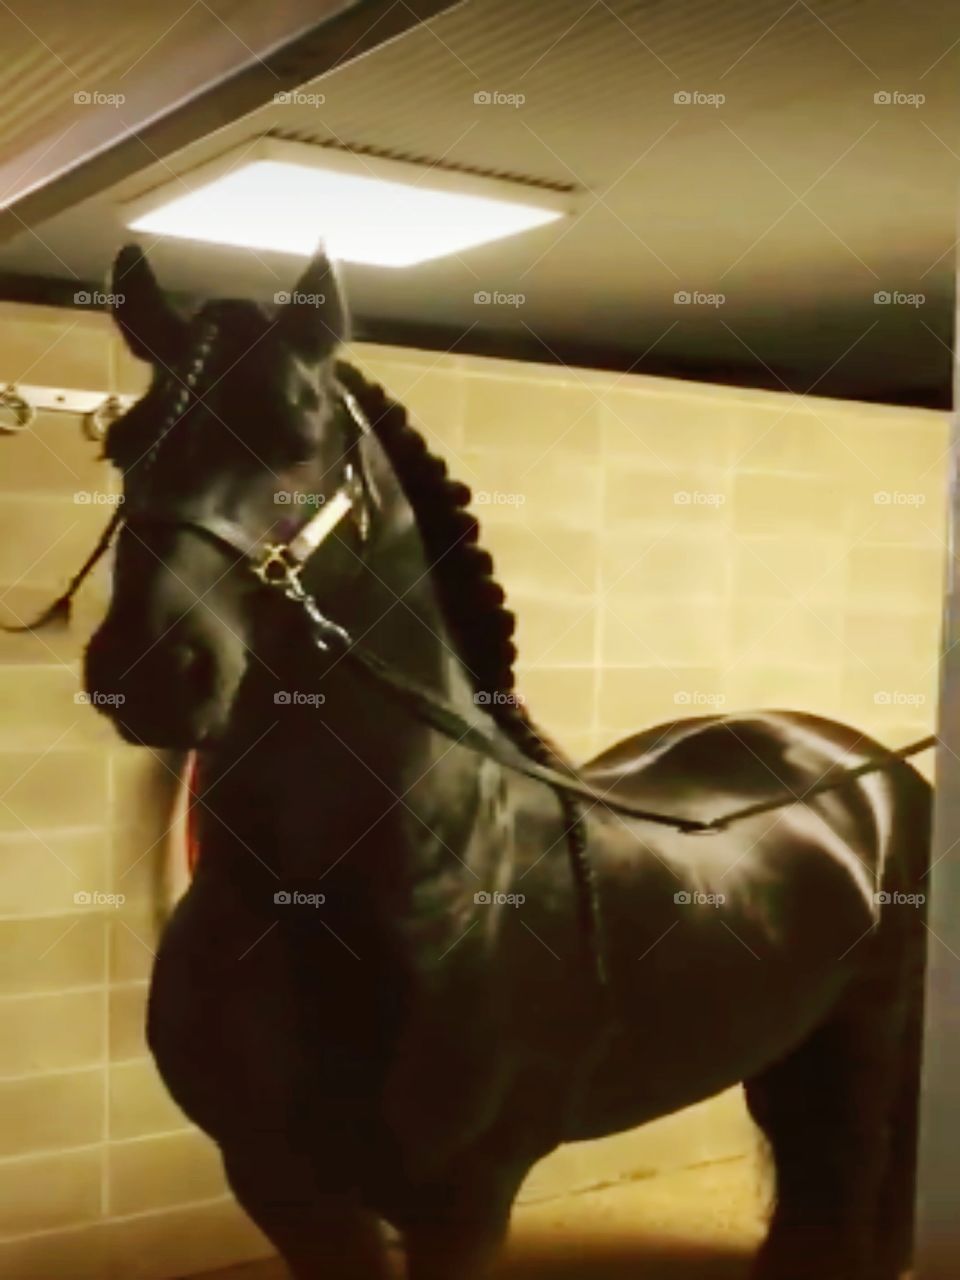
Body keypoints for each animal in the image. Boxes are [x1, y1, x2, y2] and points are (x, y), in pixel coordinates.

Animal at [80, 244, 930, 1280]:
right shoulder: (280, 1184)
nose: (153, 669)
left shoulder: (463, 1199)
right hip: (784, 1045)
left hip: (869, 1042)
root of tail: (863, 766)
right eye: (125, 447)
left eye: (297, 435)